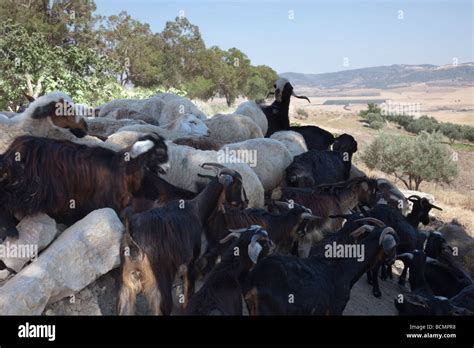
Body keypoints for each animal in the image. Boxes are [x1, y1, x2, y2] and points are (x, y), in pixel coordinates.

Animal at [0, 132, 169, 238]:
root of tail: (13, 150)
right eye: (160, 152)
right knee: (6, 197)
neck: (122, 166)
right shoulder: (104, 200)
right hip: (32, 187)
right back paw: (10, 230)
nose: (167, 169)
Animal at [116, 164, 244, 316]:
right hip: (159, 287)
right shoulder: (190, 264)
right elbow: (188, 295)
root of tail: (132, 239)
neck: (196, 209)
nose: (244, 203)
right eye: (238, 184)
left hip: (127, 286)